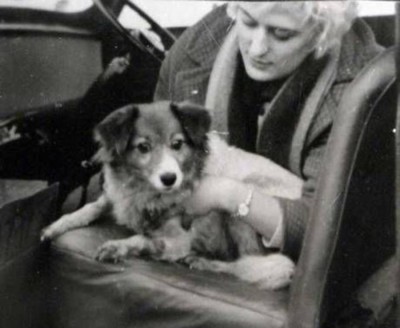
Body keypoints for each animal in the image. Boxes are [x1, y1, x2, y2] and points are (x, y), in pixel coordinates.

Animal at [41, 100, 304, 290]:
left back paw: (204, 262)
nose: (169, 178)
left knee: (253, 264)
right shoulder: (117, 197)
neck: (144, 190)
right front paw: (56, 225)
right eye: (143, 147)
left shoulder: (178, 240)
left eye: (177, 144)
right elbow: (89, 208)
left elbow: (142, 239)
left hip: (246, 199)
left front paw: (117, 246)